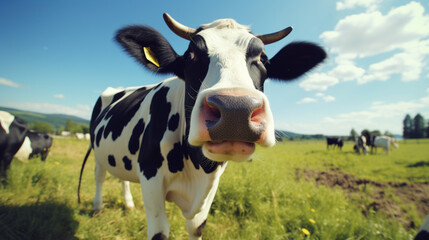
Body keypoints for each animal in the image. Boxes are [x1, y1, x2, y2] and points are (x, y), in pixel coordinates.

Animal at [77, 13, 324, 240]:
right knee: (99, 175)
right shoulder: (150, 177)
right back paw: (97, 207)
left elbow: (197, 227)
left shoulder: (210, 188)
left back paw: (128, 204)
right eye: (190, 55)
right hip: (98, 151)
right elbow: (159, 232)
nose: (236, 110)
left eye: (263, 58)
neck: (197, 168)